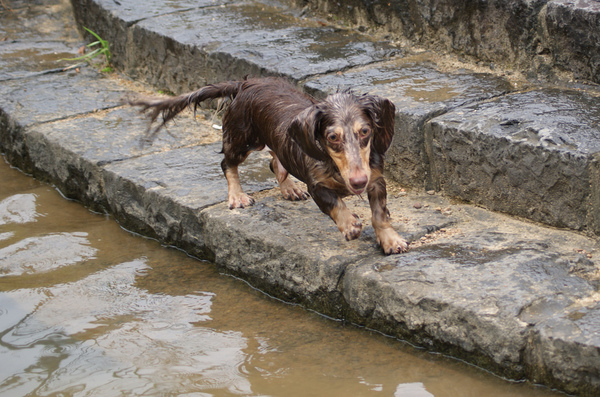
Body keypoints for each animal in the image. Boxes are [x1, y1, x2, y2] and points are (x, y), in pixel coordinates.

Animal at [127, 77, 408, 254]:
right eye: (332, 137)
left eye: (365, 131)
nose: (358, 182)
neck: (336, 167)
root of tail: (246, 83)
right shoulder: (317, 186)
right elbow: (336, 204)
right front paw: (350, 224)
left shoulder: (376, 178)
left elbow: (380, 214)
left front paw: (390, 240)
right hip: (242, 140)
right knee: (227, 164)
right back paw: (237, 196)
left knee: (276, 162)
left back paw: (289, 187)